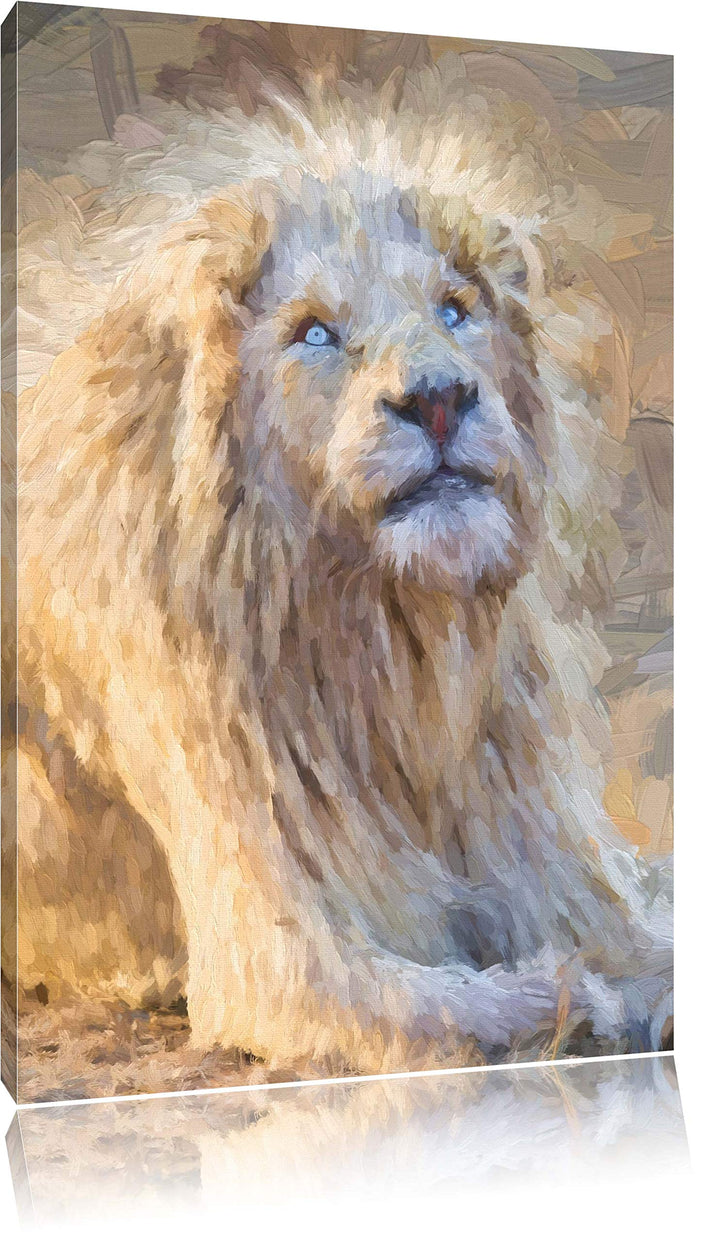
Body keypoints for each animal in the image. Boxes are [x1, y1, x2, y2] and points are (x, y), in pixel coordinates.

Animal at [9, 59, 672, 1088]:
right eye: (315, 334)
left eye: (454, 310)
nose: (438, 399)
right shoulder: (282, 960)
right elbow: (474, 1006)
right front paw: (582, 1002)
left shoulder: (551, 858)